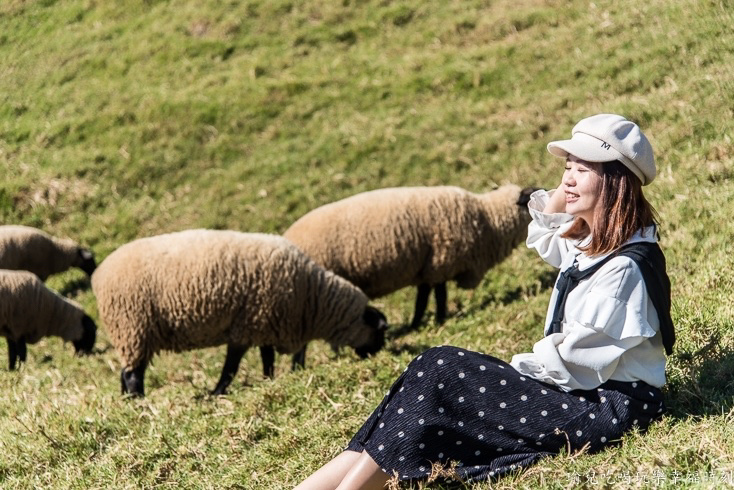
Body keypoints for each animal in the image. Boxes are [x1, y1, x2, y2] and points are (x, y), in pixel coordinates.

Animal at [90, 231, 392, 398]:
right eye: (378, 331)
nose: (378, 354)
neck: (311, 299)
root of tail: (99, 274)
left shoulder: (264, 324)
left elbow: (266, 358)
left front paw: (269, 380)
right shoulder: (247, 325)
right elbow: (232, 366)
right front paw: (218, 392)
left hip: (131, 333)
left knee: (126, 372)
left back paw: (127, 402)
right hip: (132, 327)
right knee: (133, 374)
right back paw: (139, 401)